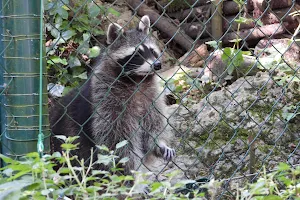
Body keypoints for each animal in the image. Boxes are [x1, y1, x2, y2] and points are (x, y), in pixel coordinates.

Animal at [50, 15, 175, 175]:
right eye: (137, 54)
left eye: (152, 51)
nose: (157, 65)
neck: (137, 79)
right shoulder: (106, 97)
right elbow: (117, 139)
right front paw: (130, 171)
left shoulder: (150, 94)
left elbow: (153, 120)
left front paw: (159, 143)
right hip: (69, 139)